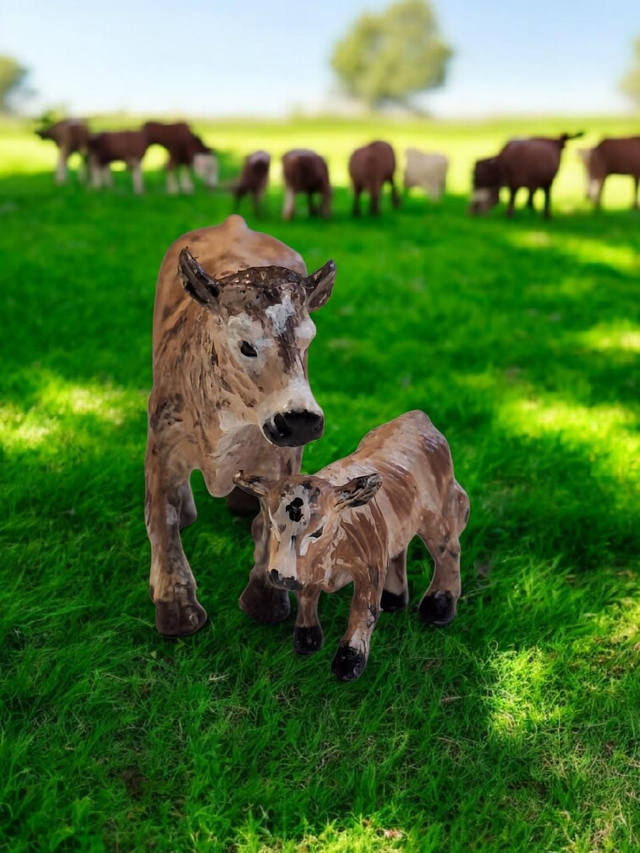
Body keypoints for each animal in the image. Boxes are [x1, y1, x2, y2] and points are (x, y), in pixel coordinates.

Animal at [145, 214, 336, 637]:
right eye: (245, 345)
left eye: (309, 341)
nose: (299, 420)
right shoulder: (163, 442)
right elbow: (163, 520)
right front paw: (177, 610)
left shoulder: (284, 455)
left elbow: (275, 522)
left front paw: (266, 601)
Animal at [234, 410, 470, 682]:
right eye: (272, 524)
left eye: (318, 531)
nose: (280, 576)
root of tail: (416, 417)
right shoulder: (306, 569)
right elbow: (306, 597)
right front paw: (307, 638)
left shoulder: (369, 567)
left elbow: (363, 611)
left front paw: (349, 661)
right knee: (399, 549)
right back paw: (394, 598)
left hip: (438, 517)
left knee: (448, 553)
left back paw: (439, 606)